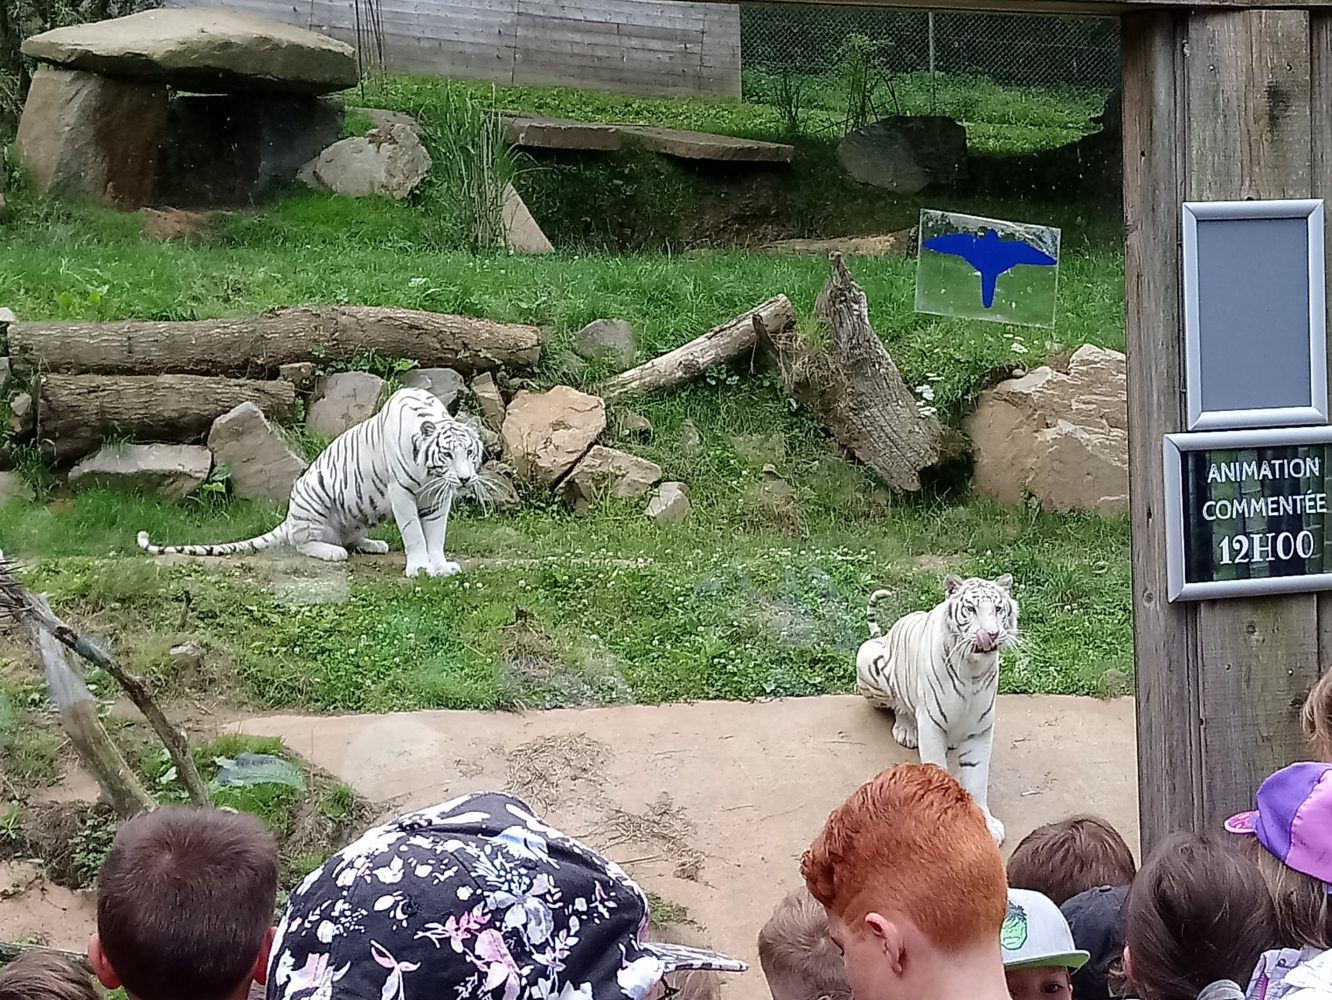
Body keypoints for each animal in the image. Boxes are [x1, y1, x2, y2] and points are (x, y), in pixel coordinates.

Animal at [137, 388, 498, 577]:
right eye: (447, 455)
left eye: (469, 452)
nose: (465, 478)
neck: (432, 475)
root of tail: (290, 517)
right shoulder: (403, 492)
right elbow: (414, 533)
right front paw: (420, 567)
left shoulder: (438, 496)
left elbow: (435, 533)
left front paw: (441, 565)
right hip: (313, 500)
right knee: (303, 541)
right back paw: (332, 552)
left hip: (359, 514)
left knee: (349, 536)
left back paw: (372, 544)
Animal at [852, 577, 1017, 846]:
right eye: (971, 609)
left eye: (998, 609)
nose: (992, 634)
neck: (972, 670)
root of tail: (886, 635)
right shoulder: (931, 723)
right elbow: (938, 768)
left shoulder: (981, 728)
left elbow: (977, 777)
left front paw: (987, 825)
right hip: (868, 660)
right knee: (898, 705)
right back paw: (906, 730)